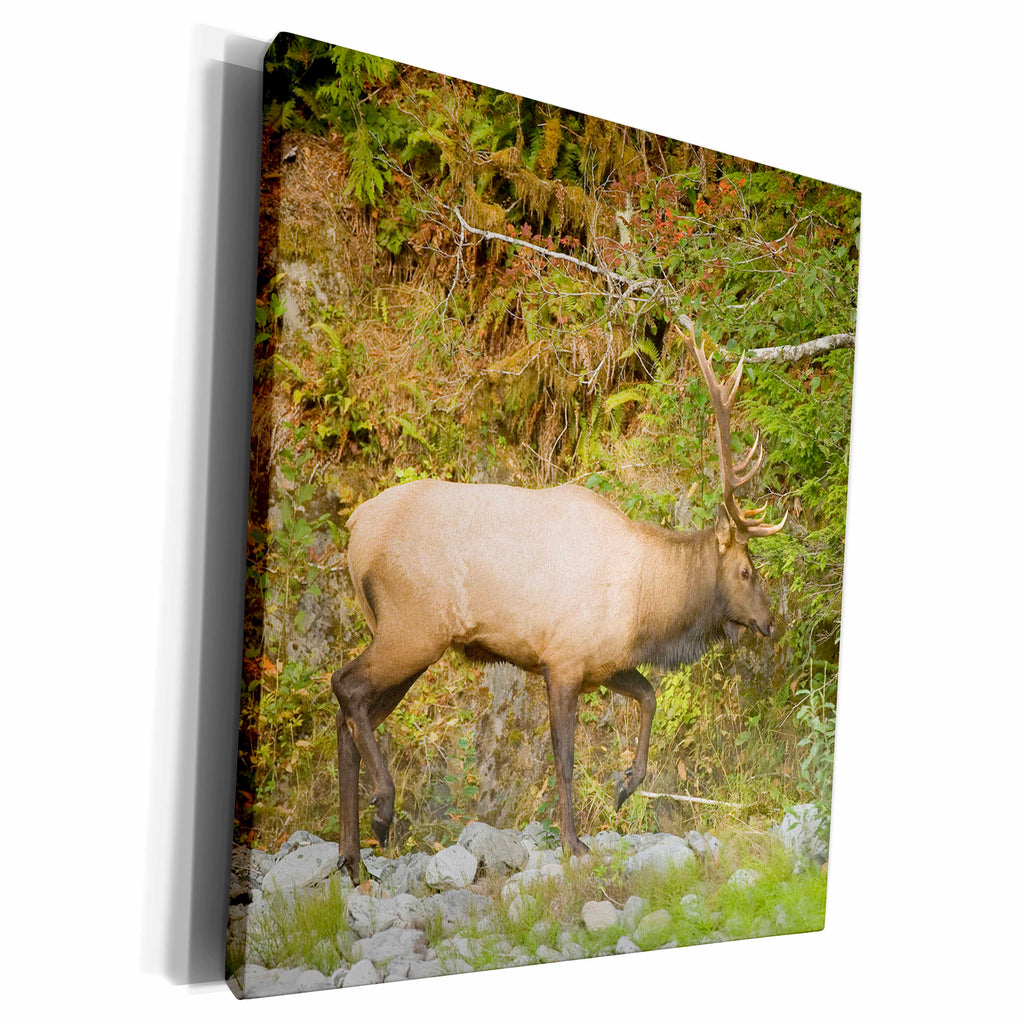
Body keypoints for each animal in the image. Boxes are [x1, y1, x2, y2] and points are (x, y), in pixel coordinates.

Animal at [330, 327, 787, 884]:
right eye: (746, 570)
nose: (770, 621)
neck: (647, 607)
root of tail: (355, 530)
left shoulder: (602, 661)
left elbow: (649, 695)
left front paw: (625, 786)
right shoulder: (563, 659)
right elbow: (564, 756)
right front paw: (574, 842)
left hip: (401, 637)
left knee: (349, 717)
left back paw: (352, 859)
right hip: (411, 629)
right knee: (344, 686)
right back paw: (382, 810)